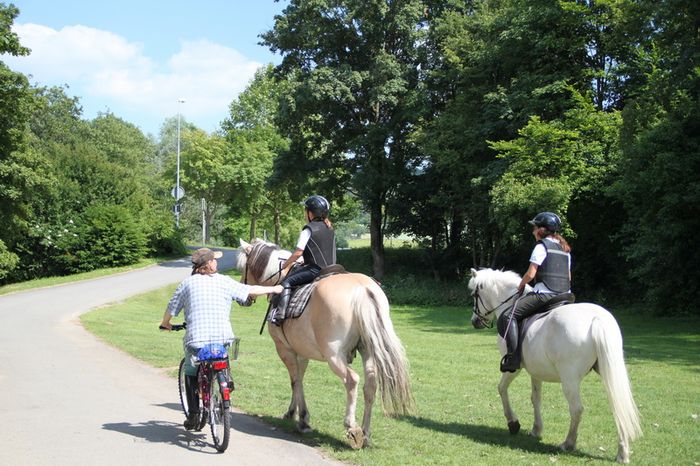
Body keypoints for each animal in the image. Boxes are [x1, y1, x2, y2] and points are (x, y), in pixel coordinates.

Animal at [238, 240, 412, 448]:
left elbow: (295, 380)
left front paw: (302, 419)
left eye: (244, 267)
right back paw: (366, 433)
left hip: (334, 355)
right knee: (370, 385)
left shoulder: (284, 349)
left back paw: (352, 427)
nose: (245, 297)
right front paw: (294, 413)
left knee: (352, 380)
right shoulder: (301, 351)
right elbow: (299, 379)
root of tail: (362, 289)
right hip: (368, 350)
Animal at [468, 268, 644, 464]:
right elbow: (535, 398)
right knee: (618, 405)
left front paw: (513, 423)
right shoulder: (536, 371)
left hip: (569, 380)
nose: (475, 321)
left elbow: (501, 388)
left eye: (474, 294)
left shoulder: (514, 368)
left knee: (576, 409)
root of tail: (596, 319)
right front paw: (536, 429)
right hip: (608, 372)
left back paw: (568, 443)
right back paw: (623, 453)